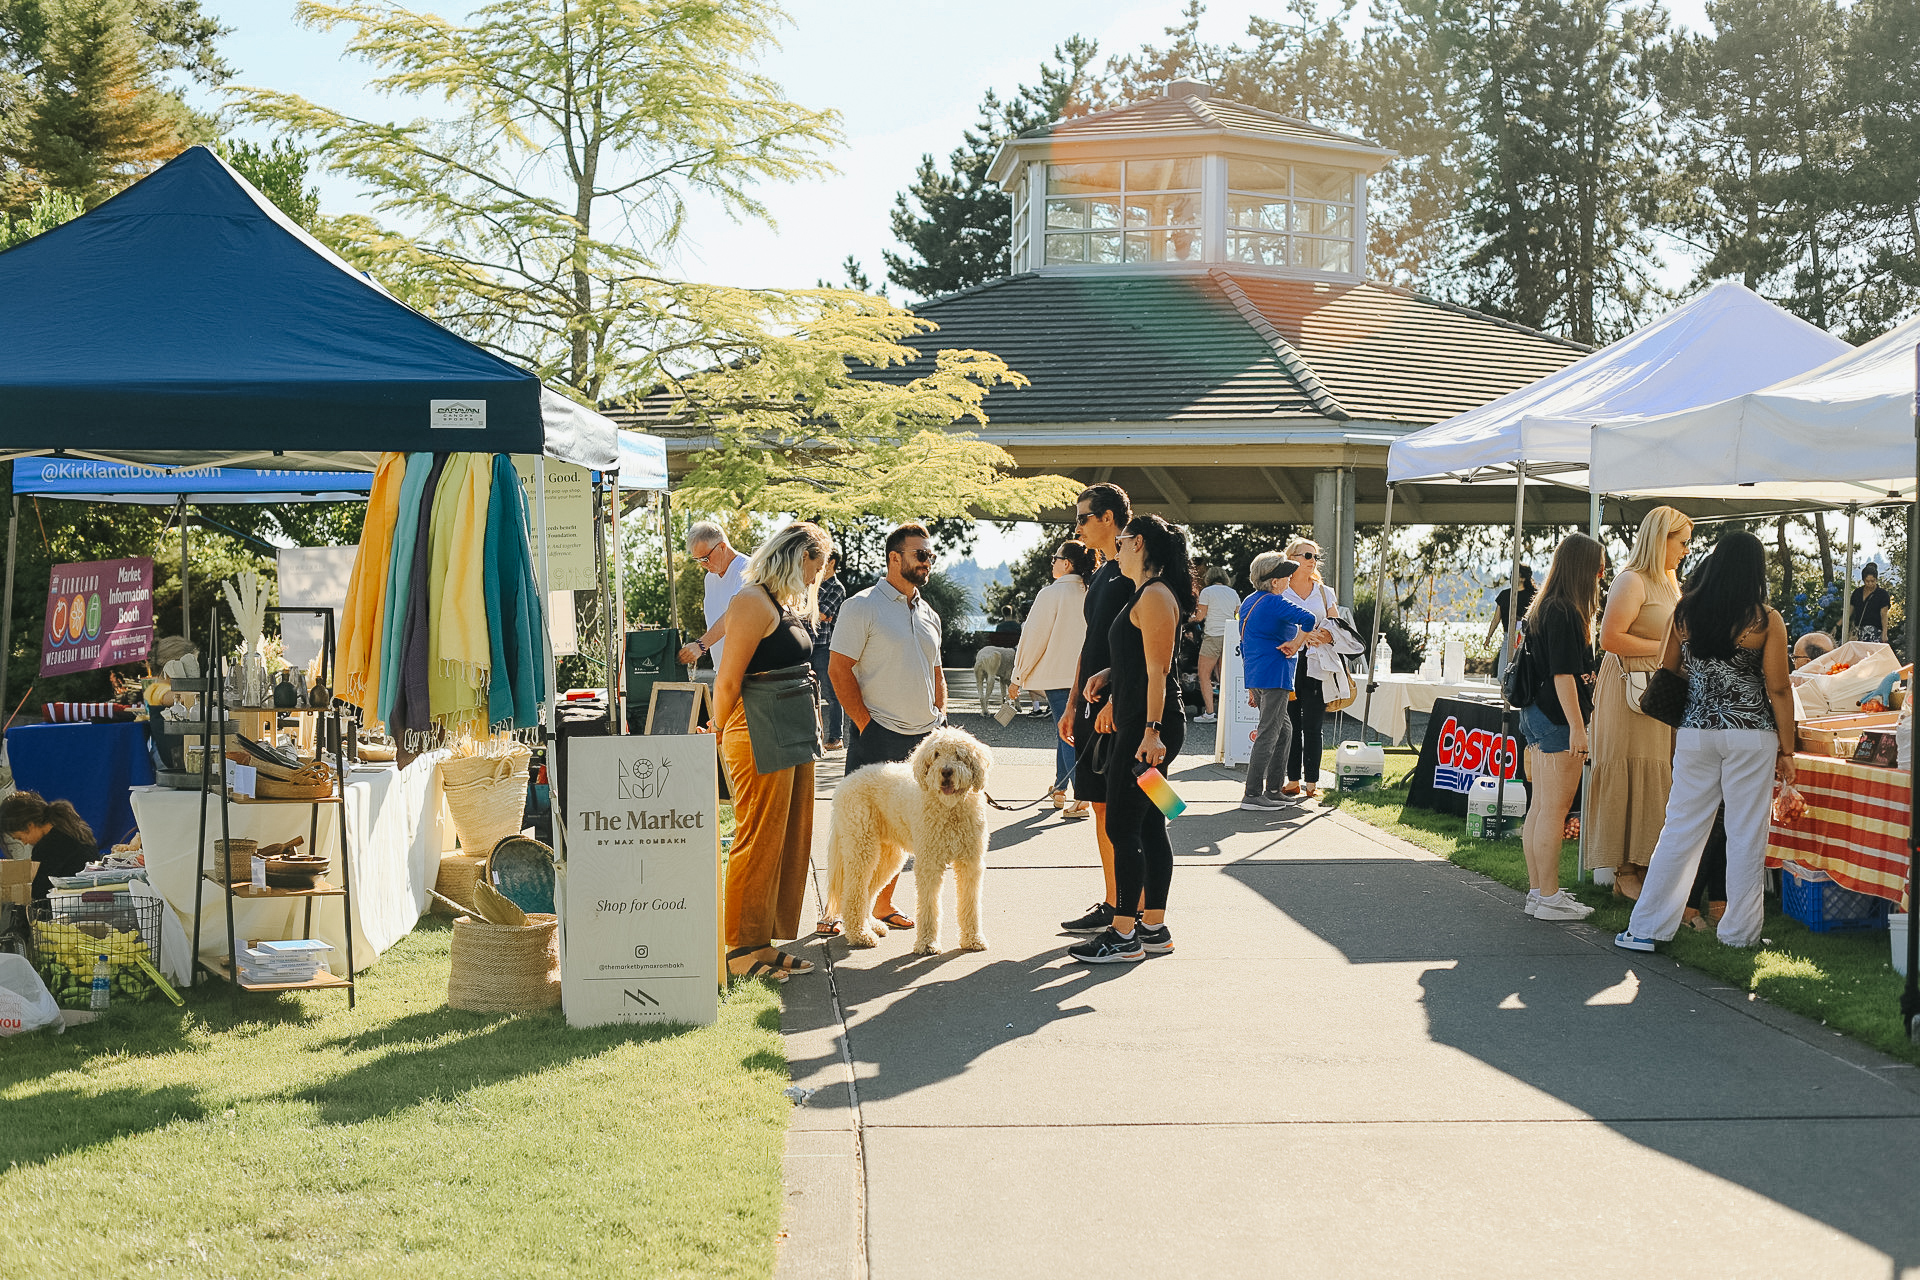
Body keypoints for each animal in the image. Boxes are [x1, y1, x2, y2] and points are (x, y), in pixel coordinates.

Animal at [825, 729, 998, 951]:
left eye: (959, 755)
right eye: (936, 754)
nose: (946, 772)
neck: (950, 808)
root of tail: (845, 783)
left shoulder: (970, 863)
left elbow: (970, 903)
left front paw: (973, 939)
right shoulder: (929, 864)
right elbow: (929, 905)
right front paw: (927, 943)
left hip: (889, 855)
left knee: (869, 890)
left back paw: (872, 925)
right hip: (861, 847)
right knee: (853, 892)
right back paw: (861, 935)